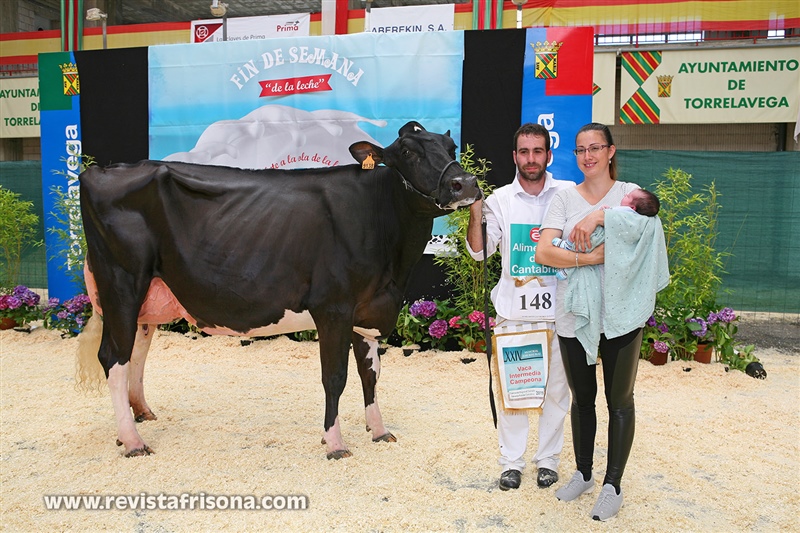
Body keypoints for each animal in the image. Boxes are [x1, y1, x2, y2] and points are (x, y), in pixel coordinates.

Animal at [76, 121, 482, 458]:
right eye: (409, 151)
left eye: (451, 146)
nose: (466, 184)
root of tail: (99, 170)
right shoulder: (333, 307)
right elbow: (335, 377)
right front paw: (335, 443)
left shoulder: (368, 310)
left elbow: (371, 375)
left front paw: (379, 431)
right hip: (121, 281)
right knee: (113, 357)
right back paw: (132, 441)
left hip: (149, 293)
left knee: (137, 351)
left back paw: (140, 414)